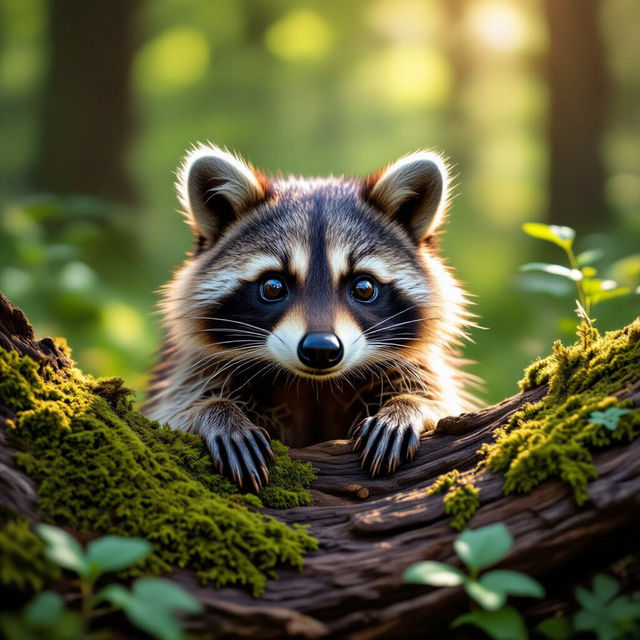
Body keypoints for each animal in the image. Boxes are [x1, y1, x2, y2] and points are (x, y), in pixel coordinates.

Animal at [144, 144, 478, 491]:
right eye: (273, 286)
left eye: (363, 288)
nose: (321, 349)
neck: (313, 385)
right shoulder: (192, 371)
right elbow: (175, 408)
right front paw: (215, 411)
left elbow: (441, 400)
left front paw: (408, 405)